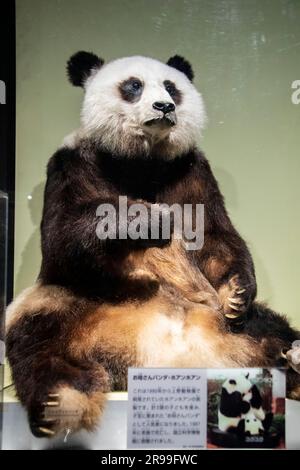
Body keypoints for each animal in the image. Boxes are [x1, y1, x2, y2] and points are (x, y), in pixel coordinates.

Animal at [4, 51, 300, 436]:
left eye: (171, 86)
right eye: (134, 85)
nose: (165, 106)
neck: (139, 160)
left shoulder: (191, 171)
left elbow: (217, 237)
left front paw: (236, 293)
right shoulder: (70, 164)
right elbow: (62, 237)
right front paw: (149, 221)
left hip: (233, 323)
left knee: (269, 328)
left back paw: (293, 359)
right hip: (63, 303)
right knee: (37, 344)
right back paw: (62, 403)